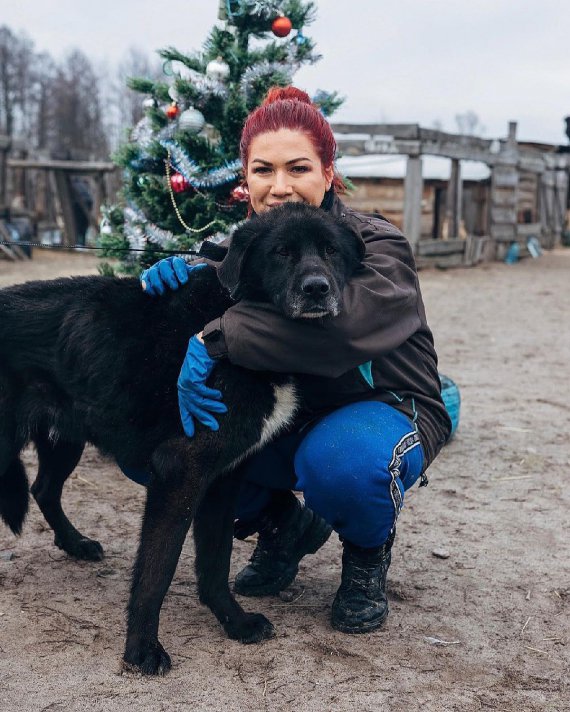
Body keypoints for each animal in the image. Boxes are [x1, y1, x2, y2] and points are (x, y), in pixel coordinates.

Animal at [0, 200, 364, 672]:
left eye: (332, 250)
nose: (317, 289)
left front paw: (234, 622)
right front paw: (141, 650)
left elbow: (214, 562)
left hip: (66, 439)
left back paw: (75, 543)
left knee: (43, 488)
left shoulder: (224, 478)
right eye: (281, 252)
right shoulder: (180, 473)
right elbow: (156, 571)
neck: (232, 311)